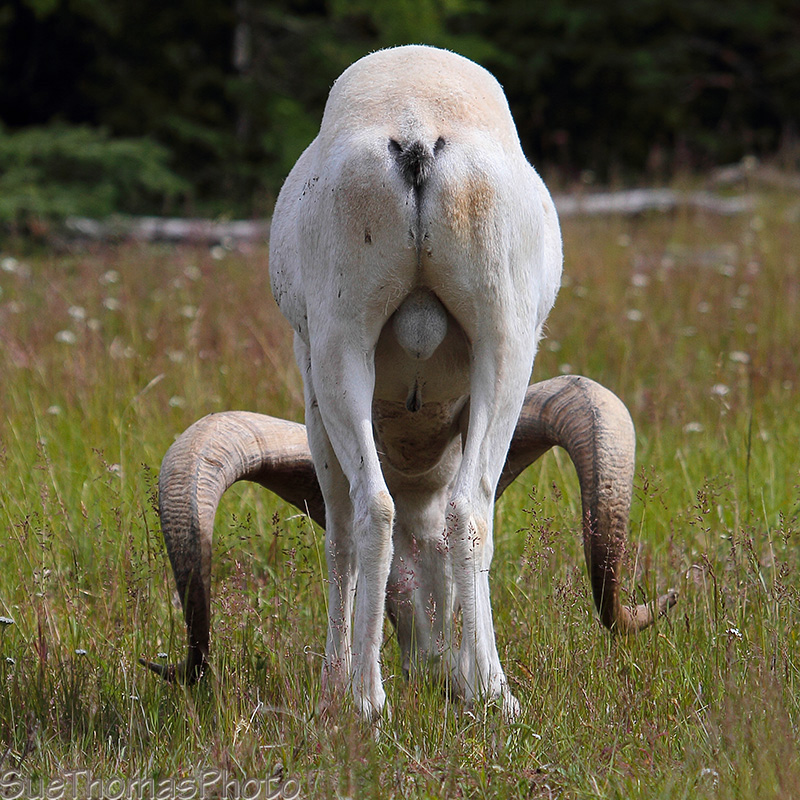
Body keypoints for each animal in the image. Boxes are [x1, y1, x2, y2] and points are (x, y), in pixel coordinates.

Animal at [142, 45, 676, 720]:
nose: (429, 669)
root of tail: (418, 131)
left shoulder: (312, 387)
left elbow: (340, 537)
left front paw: (332, 690)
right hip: (503, 342)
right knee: (466, 508)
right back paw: (490, 695)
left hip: (343, 347)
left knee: (373, 508)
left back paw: (369, 701)